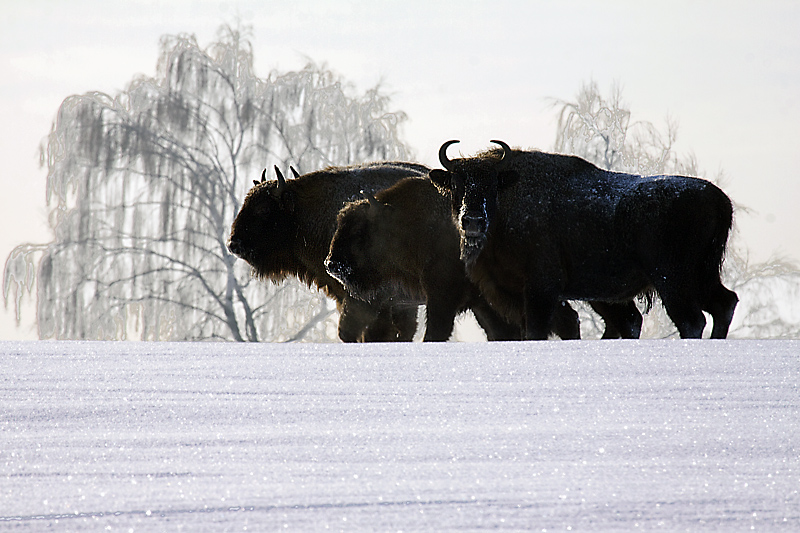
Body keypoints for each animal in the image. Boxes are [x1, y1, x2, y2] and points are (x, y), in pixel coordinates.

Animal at [432, 139, 736, 338]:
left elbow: (537, 330)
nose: (472, 220)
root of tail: (718, 198)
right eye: (456, 184)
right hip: (702, 276)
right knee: (724, 304)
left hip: (673, 279)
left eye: (491, 185)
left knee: (691, 320)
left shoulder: (541, 290)